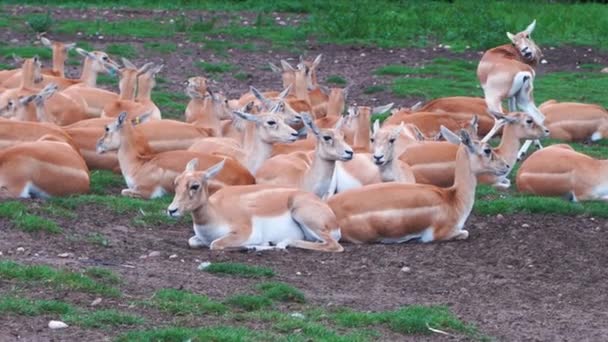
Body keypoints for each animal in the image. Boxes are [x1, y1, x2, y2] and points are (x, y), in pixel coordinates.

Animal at [97, 112, 254, 198]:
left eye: (107, 128)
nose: (98, 145)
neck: (139, 164)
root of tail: (248, 179)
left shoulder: (147, 190)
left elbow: (124, 191)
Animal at [166, 159, 344, 252]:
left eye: (194, 185)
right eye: (176, 182)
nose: (171, 210)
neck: (216, 213)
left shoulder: (244, 232)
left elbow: (215, 244)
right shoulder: (199, 238)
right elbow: (192, 241)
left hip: (302, 213)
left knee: (334, 245)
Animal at [478, 20, 544, 160]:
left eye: (527, 35)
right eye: (514, 42)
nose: (525, 51)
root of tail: (523, 71)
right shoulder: (512, 97)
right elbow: (515, 114)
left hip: (492, 99)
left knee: (500, 119)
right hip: (523, 99)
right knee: (538, 116)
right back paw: (523, 153)